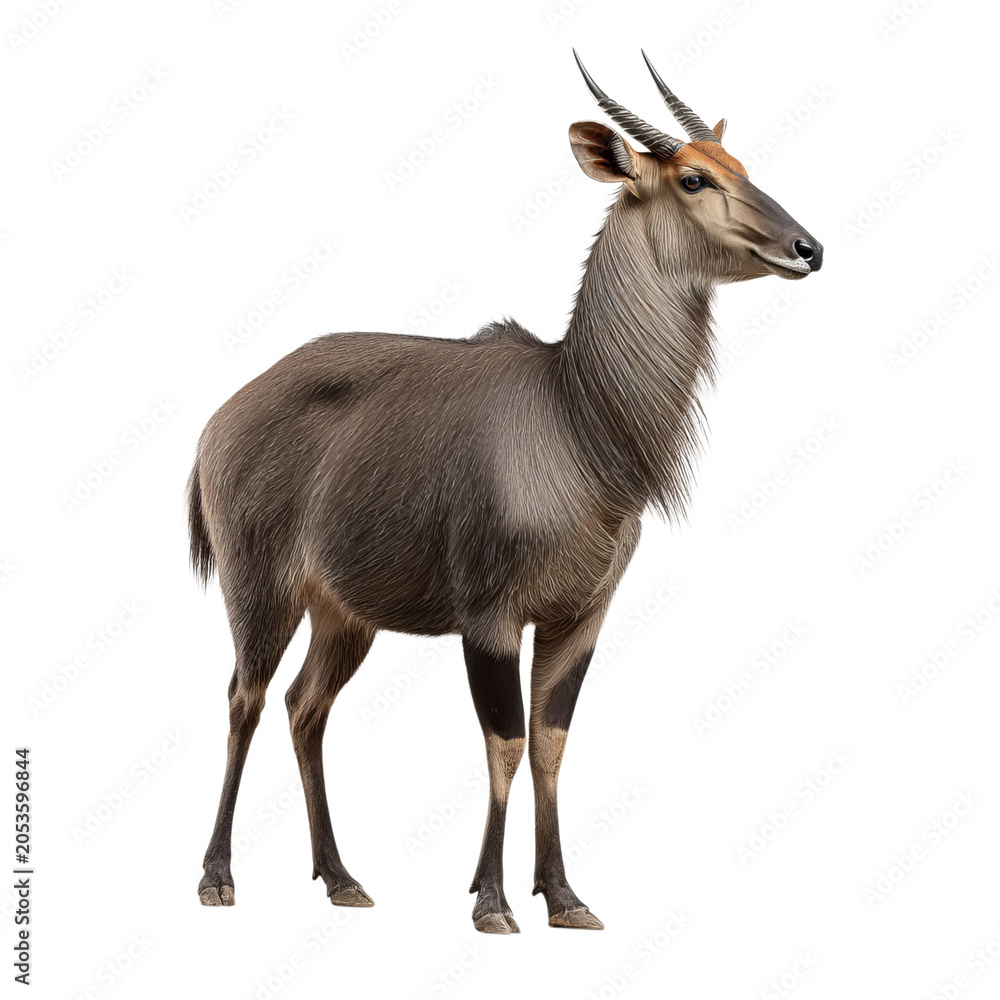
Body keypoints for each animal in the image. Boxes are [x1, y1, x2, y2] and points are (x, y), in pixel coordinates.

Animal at [189, 50, 823, 934]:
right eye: (693, 177)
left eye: (741, 165)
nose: (808, 248)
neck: (575, 419)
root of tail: (217, 422)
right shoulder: (487, 617)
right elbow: (505, 743)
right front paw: (490, 901)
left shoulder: (579, 617)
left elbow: (550, 741)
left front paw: (564, 896)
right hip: (261, 591)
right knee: (243, 700)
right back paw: (217, 878)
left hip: (344, 616)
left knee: (303, 707)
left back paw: (342, 878)